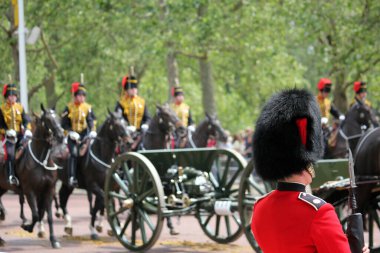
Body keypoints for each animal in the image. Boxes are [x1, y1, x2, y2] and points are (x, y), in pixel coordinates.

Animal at [0, 104, 64, 247]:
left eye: (58, 117)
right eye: (48, 119)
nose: (61, 136)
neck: (42, 160)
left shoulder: (48, 190)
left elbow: (46, 215)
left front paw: (53, 240)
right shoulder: (30, 191)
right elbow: (35, 214)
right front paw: (27, 227)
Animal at [55, 110, 129, 239]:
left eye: (125, 122)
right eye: (116, 124)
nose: (128, 140)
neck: (102, 156)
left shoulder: (108, 187)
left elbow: (103, 204)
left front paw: (107, 226)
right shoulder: (93, 186)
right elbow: (101, 203)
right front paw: (94, 228)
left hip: (67, 184)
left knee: (63, 197)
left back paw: (68, 225)